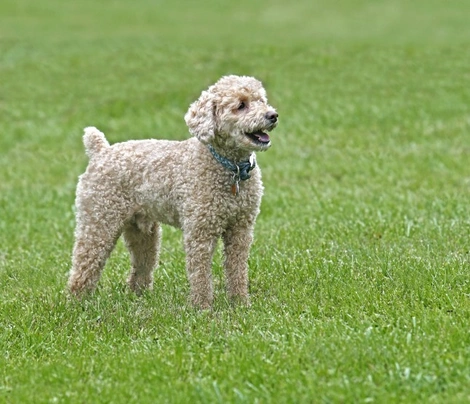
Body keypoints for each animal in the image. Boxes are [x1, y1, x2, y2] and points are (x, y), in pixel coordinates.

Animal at [68, 76, 278, 308]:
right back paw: (77, 302)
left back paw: (139, 296)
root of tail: (100, 151)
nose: (272, 115)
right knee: (84, 263)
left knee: (141, 264)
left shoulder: (241, 228)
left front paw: (240, 303)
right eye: (241, 105)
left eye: (261, 100)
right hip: (99, 221)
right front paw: (202, 308)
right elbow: (200, 274)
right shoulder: (200, 231)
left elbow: (238, 269)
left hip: (142, 230)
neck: (230, 168)